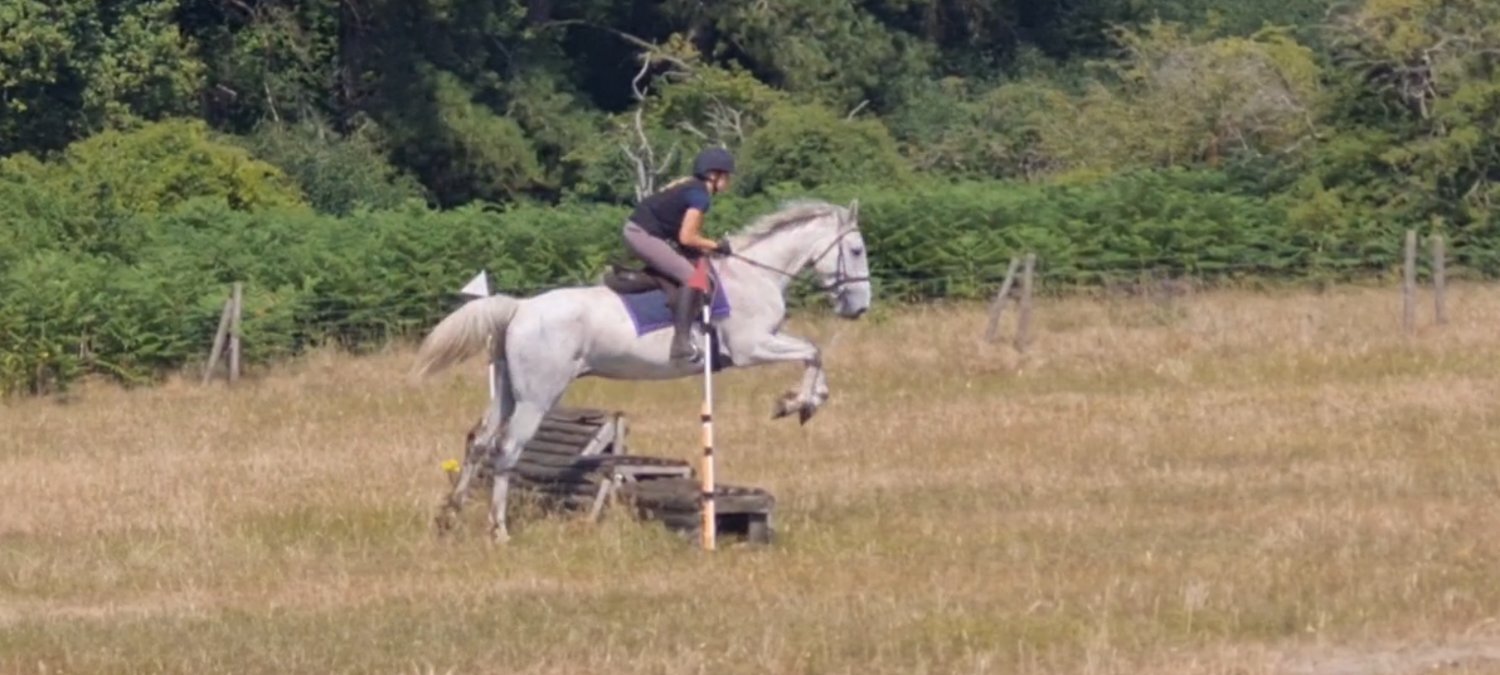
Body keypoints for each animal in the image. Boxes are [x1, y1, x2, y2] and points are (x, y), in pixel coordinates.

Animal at [410, 198, 873, 543]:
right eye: (856, 251)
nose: (859, 308)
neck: (752, 276)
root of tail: (519, 309)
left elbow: (813, 353)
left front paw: (804, 402)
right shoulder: (751, 346)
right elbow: (813, 351)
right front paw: (798, 403)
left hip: (508, 389)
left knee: (480, 442)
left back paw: (450, 517)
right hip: (538, 396)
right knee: (507, 448)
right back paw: (499, 530)